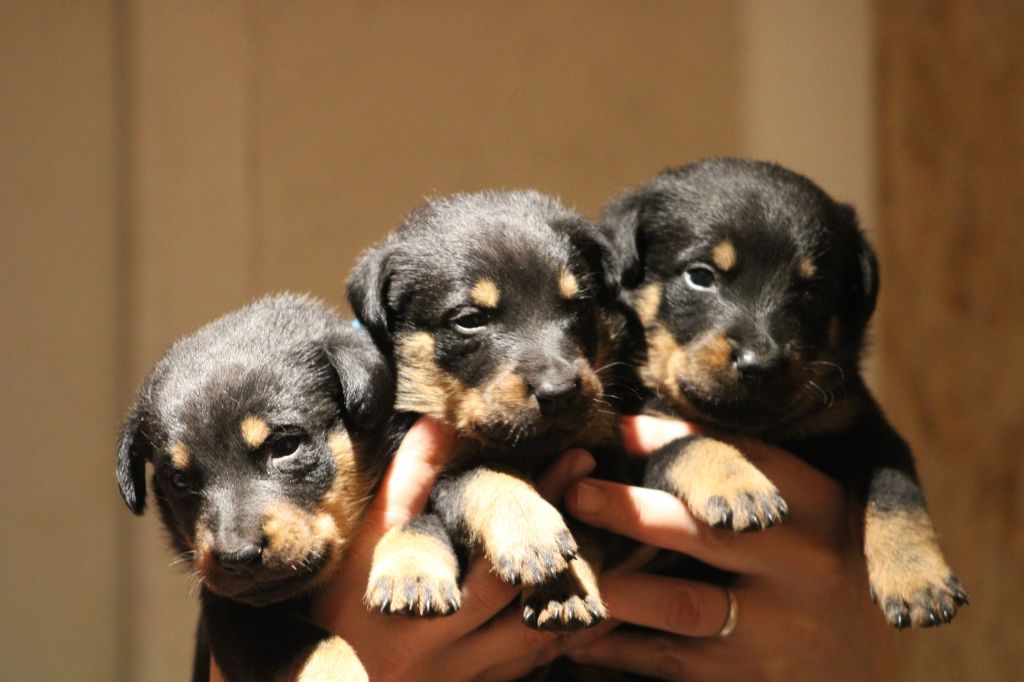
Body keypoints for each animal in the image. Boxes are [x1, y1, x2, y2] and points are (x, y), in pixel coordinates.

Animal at [348, 188, 626, 630]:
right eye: (469, 320)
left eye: (578, 305)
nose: (559, 391)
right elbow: (473, 482)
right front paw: (413, 574)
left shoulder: (608, 466)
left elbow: (585, 526)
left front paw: (563, 588)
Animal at [598, 157, 962, 626]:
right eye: (700, 277)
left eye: (814, 293)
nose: (761, 365)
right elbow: (681, 443)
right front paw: (738, 486)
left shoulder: (866, 428)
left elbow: (895, 491)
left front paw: (919, 581)